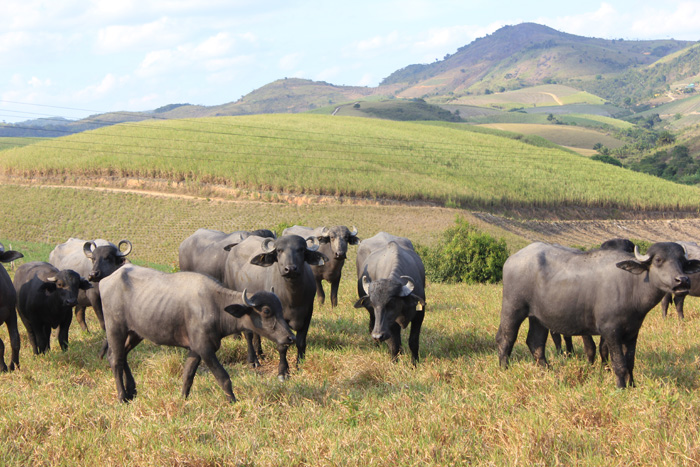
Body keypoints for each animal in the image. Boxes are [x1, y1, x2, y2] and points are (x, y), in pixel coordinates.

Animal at [99, 266, 296, 404]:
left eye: (280, 309)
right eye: (266, 311)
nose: (290, 337)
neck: (215, 306)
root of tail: (105, 281)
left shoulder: (195, 350)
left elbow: (187, 376)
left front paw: (183, 398)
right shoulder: (205, 349)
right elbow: (223, 377)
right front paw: (232, 401)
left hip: (135, 332)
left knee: (123, 355)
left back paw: (132, 391)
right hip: (115, 328)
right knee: (115, 359)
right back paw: (122, 397)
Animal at [224, 234, 328, 380]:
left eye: (301, 249)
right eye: (279, 250)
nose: (290, 269)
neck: (293, 297)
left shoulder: (308, 314)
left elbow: (301, 342)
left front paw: (299, 366)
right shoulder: (278, 317)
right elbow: (282, 345)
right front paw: (283, 371)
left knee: (257, 333)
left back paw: (261, 354)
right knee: (248, 334)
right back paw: (253, 360)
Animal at [352, 232, 424, 364]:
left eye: (391, 303)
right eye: (373, 304)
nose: (377, 336)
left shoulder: (419, 315)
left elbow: (413, 341)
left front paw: (414, 363)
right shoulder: (389, 324)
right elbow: (393, 344)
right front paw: (394, 362)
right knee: (372, 325)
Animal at [494, 241, 700, 388]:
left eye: (682, 262)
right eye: (658, 260)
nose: (682, 280)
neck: (632, 286)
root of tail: (512, 259)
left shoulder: (632, 332)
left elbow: (630, 361)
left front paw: (632, 385)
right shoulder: (610, 331)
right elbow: (618, 362)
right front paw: (621, 387)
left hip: (538, 317)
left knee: (535, 343)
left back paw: (548, 371)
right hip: (513, 307)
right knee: (506, 338)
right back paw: (504, 369)